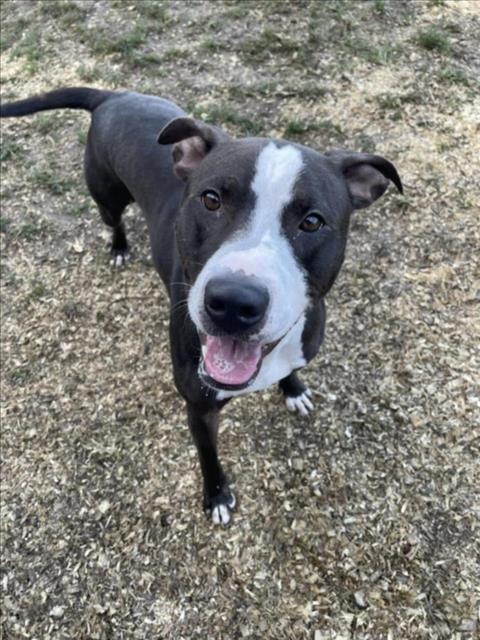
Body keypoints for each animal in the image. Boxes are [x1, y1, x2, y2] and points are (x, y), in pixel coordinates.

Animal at [1, 86, 404, 524]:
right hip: (106, 194)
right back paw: (120, 247)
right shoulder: (198, 407)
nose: (233, 302)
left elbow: (292, 371)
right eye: (211, 200)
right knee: (114, 219)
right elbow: (209, 456)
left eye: (312, 222)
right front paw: (217, 497)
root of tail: (113, 94)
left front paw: (293, 389)